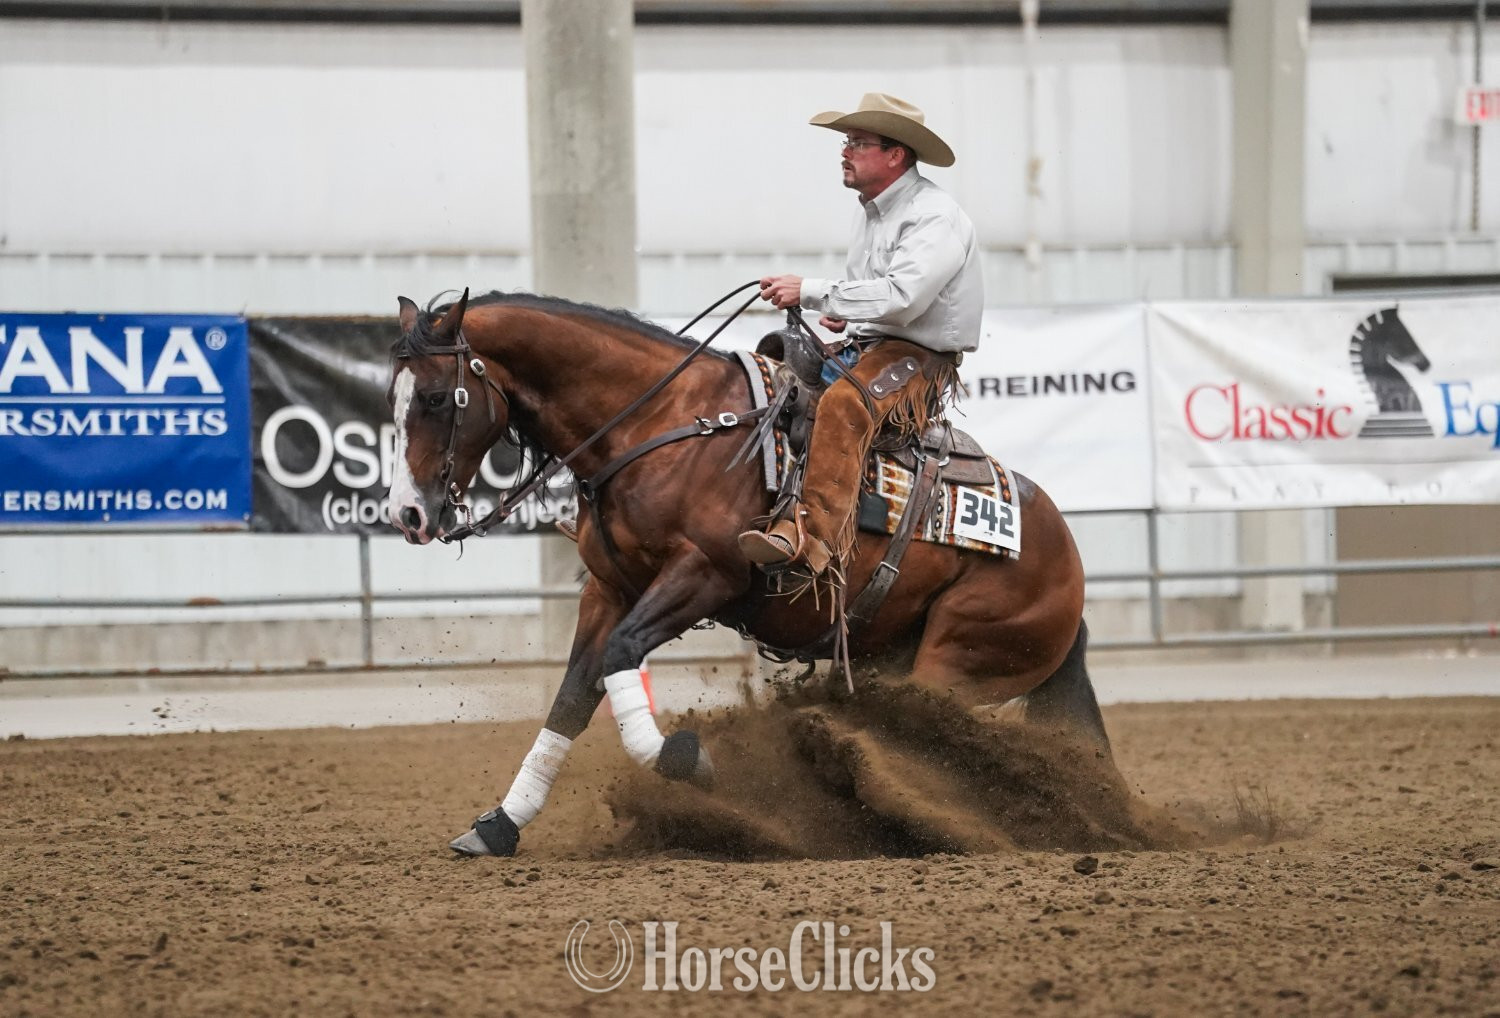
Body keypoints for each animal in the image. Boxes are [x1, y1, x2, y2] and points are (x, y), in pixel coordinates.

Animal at [386, 289, 1107, 857]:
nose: (407, 514)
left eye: (435, 398)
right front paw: (500, 825)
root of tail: (1067, 567)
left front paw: (687, 759)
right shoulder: (610, 589)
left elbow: (621, 657)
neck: (663, 422)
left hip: (955, 661)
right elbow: (573, 696)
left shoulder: (705, 575)